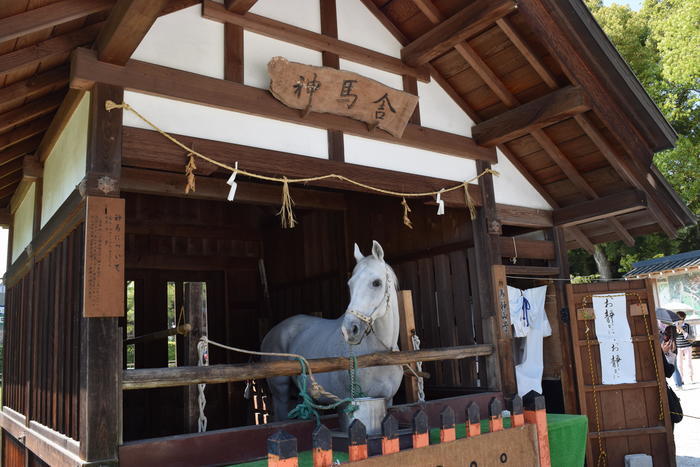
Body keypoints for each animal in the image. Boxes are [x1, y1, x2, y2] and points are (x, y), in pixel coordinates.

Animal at [262, 243, 404, 422]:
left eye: (377, 283)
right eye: (350, 284)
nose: (349, 330)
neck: (380, 356)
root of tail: (271, 332)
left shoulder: (388, 400)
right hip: (280, 394)